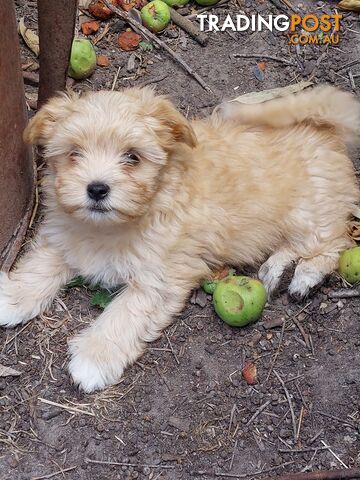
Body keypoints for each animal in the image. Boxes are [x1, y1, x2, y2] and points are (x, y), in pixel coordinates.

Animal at [0, 86, 360, 392]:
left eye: (132, 157)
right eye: (74, 153)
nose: (97, 189)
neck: (112, 226)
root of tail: (323, 130)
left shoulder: (158, 279)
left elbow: (124, 314)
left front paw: (95, 356)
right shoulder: (64, 236)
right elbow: (40, 265)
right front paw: (13, 296)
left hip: (310, 213)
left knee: (332, 243)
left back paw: (304, 275)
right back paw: (277, 270)